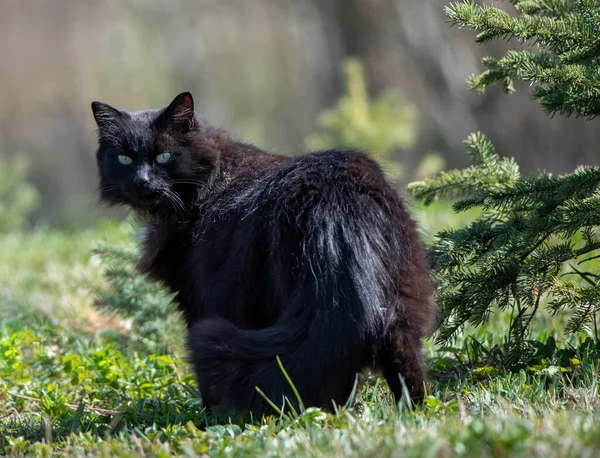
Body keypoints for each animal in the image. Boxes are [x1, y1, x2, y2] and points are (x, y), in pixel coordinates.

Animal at [91, 92, 436, 416]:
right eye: (124, 159)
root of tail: (337, 204)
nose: (141, 181)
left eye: (163, 156)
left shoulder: (197, 298)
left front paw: (209, 418)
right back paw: (412, 413)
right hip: (400, 304)